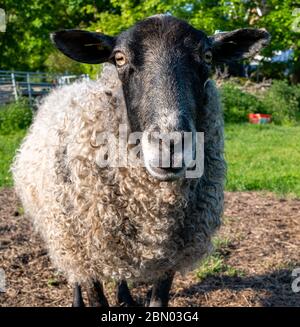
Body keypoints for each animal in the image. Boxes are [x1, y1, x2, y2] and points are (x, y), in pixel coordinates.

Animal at [12, 14, 270, 308]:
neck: (150, 208)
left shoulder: (170, 255)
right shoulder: (84, 249)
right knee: (73, 273)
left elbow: (158, 301)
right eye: (119, 58)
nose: (170, 144)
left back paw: (125, 296)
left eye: (207, 56)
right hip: (64, 236)